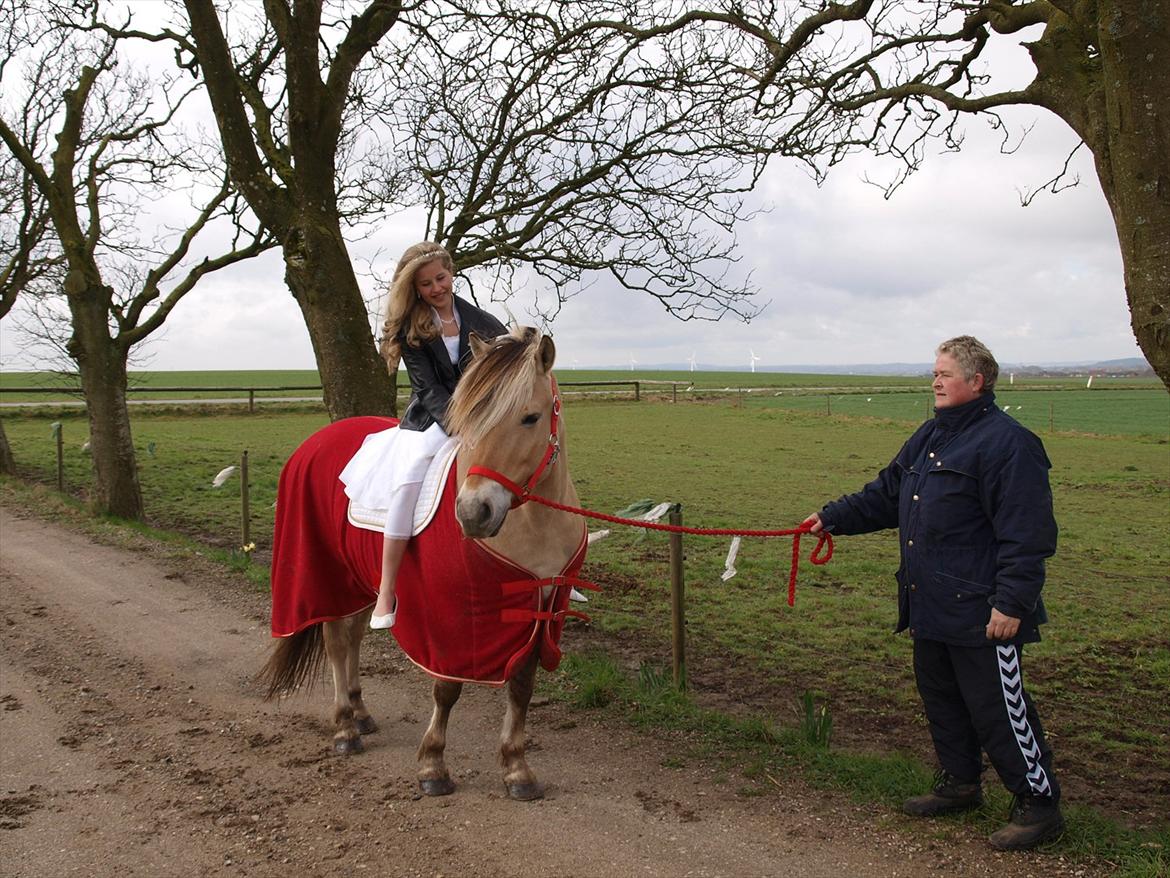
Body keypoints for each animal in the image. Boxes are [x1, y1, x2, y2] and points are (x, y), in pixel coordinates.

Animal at [256, 327, 585, 800]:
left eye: (530, 417)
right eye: (468, 420)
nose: (473, 512)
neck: (533, 526)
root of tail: (316, 443)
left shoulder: (535, 615)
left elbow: (521, 687)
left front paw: (517, 768)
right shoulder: (449, 622)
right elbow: (446, 689)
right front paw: (433, 764)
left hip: (361, 581)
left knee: (352, 637)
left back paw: (359, 712)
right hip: (325, 576)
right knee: (336, 641)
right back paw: (344, 728)